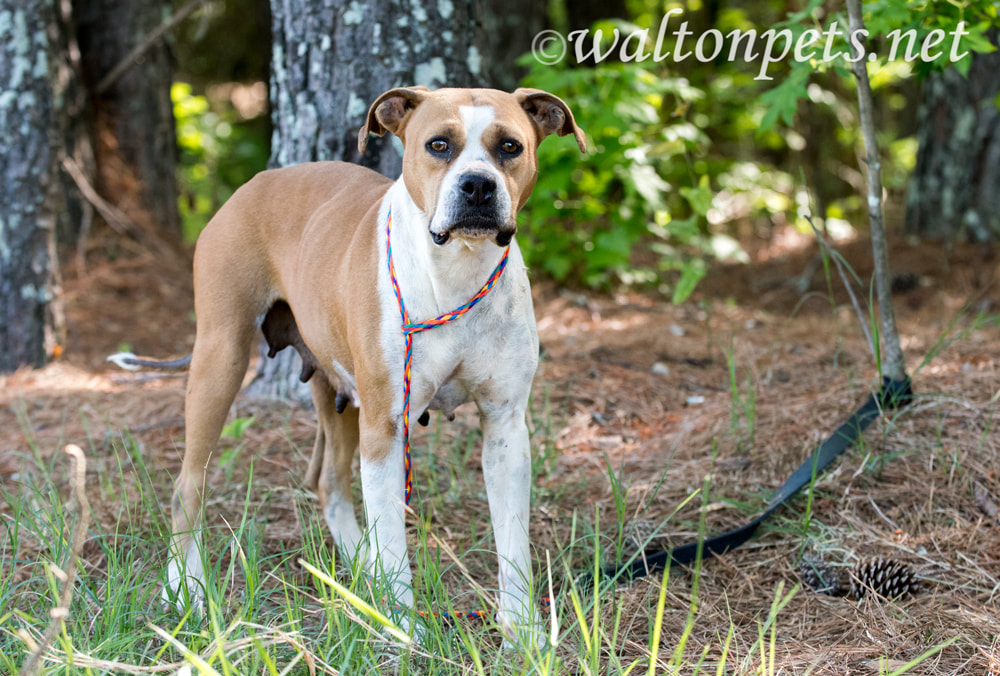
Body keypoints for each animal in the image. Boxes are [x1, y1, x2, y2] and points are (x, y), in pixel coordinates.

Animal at [109, 87, 584, 640]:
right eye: (438, 144)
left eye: (510, 146)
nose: (478, 186)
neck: (455, 273)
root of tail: (252, 184)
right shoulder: (384, 427)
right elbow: (396, 542)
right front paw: (403, 633)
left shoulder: (506, 428)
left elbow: (511, 540)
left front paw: (523, 633)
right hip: (219, 361)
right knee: (188, 484)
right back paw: (184, 589)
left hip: (336, 393)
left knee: (329, 482)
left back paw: (363, 569)